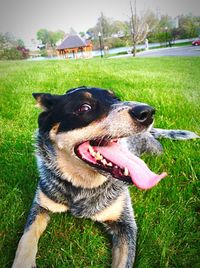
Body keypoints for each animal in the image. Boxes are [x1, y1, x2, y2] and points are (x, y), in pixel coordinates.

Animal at [12, 86, 198, 268]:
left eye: (116, 98)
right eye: (84, 107)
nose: (147, 112)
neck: (83, 187)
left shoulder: (126, 225)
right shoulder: (40, 204)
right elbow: (26, 238)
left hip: (156, 150)